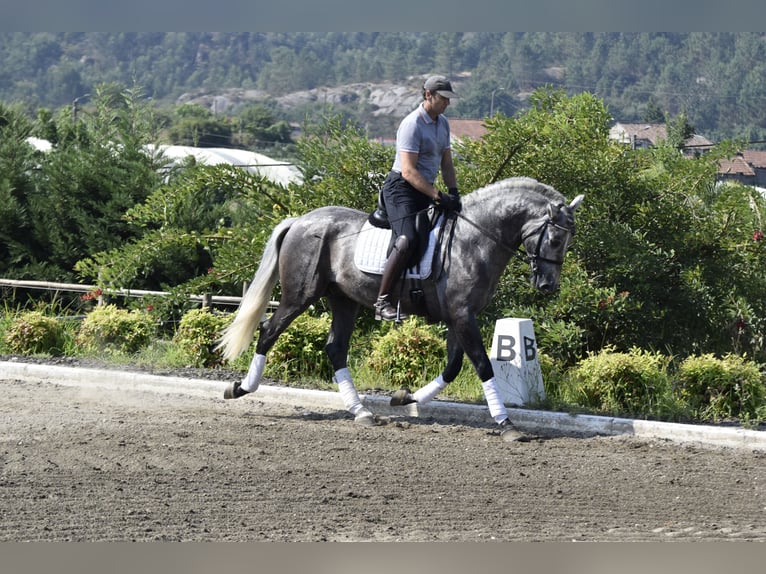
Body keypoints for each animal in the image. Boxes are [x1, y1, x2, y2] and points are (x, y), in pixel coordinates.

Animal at [217, 176, 584, 441]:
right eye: (555, 240)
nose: (548, 286)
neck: (475, 239)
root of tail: (300, 221)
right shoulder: (462, 315)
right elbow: (482, 365)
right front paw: (506, 424)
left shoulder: (459, 316)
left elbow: (452, 368)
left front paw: (405, 399)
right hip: (299, 296)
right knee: (268, 331)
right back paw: (240, 388)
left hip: (344, 299)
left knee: (336, 349)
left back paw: (361, 411)